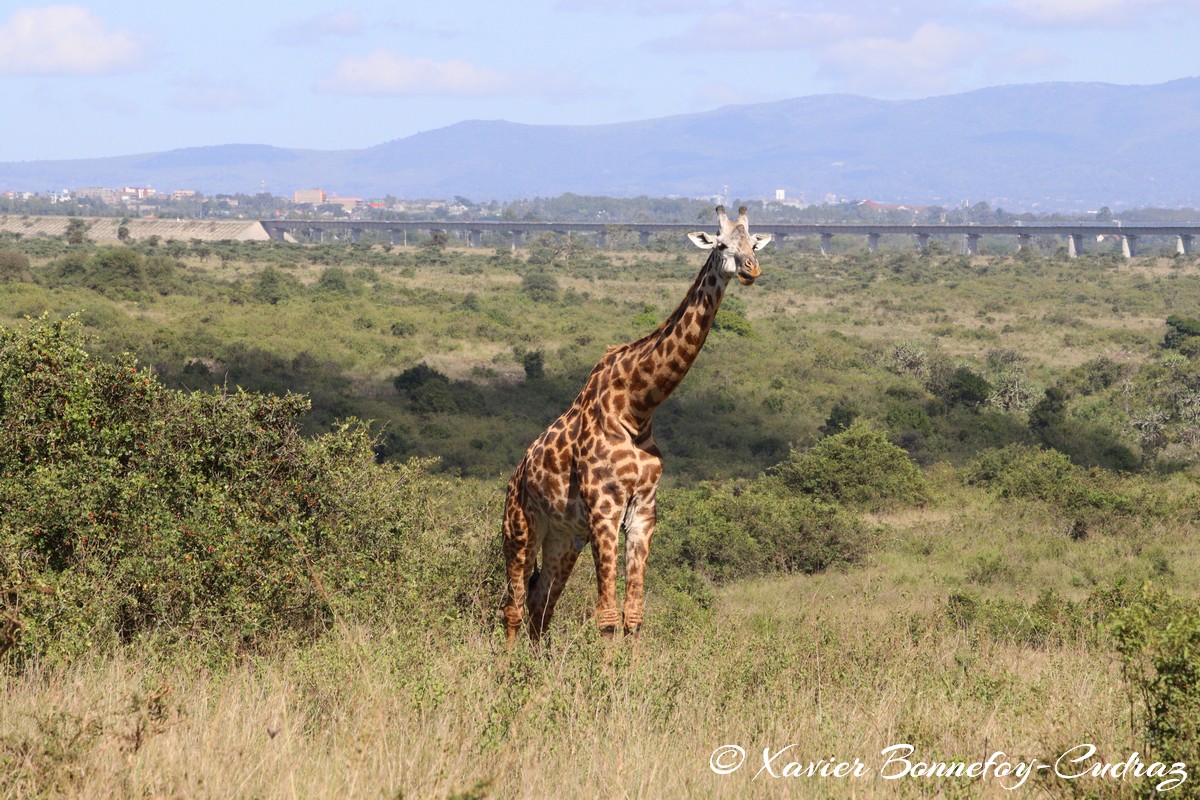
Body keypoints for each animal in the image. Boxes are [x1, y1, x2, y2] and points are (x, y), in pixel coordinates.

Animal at [501, 205, 771, 644]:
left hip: (563, 538)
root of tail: (516, 475)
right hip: (520, 529)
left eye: (753, 243)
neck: (636, 408)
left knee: (541, 606)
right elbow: (608, 618)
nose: (751, 269)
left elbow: (633, 616)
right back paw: (507, 663)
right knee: (513, 606)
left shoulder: (643, 513)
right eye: (721, 245)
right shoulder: (604, 511)